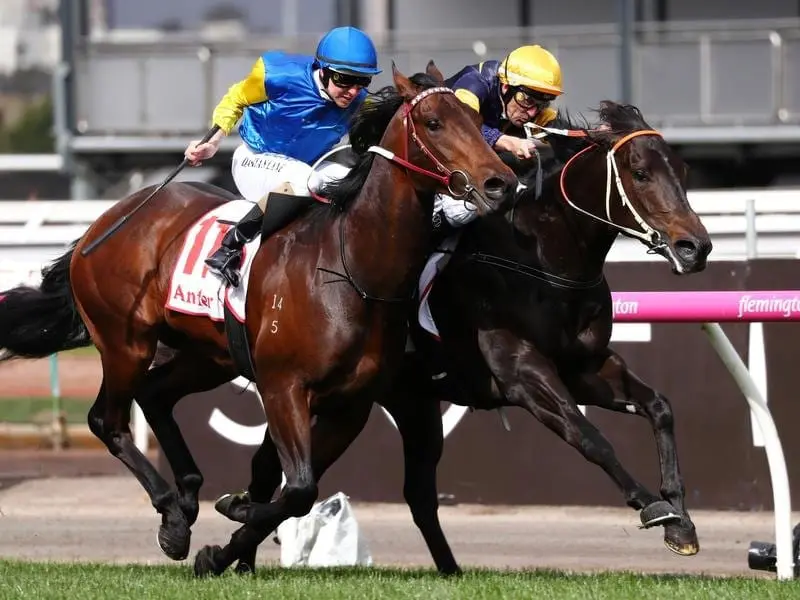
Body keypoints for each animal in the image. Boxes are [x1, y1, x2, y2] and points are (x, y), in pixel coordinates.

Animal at [0, 63, 516, 568]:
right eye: (433, 123)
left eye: (478, 121)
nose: (501, 182)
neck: (351, 269)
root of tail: (102, 225)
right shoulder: (283, 386)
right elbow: (300, 487)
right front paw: (235, 512)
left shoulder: (351, 405)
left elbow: (298, 490)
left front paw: (224, 542)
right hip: (126, 341)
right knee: (106, 420)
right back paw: (171, 513)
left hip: (209, 355)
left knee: (155, 394)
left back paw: (186, 498)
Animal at [214, 101, 712, 576]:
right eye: (641, 172)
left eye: (684, 172)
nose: (696, 247)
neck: (542, 262)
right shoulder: (522, 373)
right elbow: (589, 436)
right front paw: (655, 507)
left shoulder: (585, 367)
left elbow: (660, 407)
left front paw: (682, 521)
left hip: (404, 402)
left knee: (384, 487)